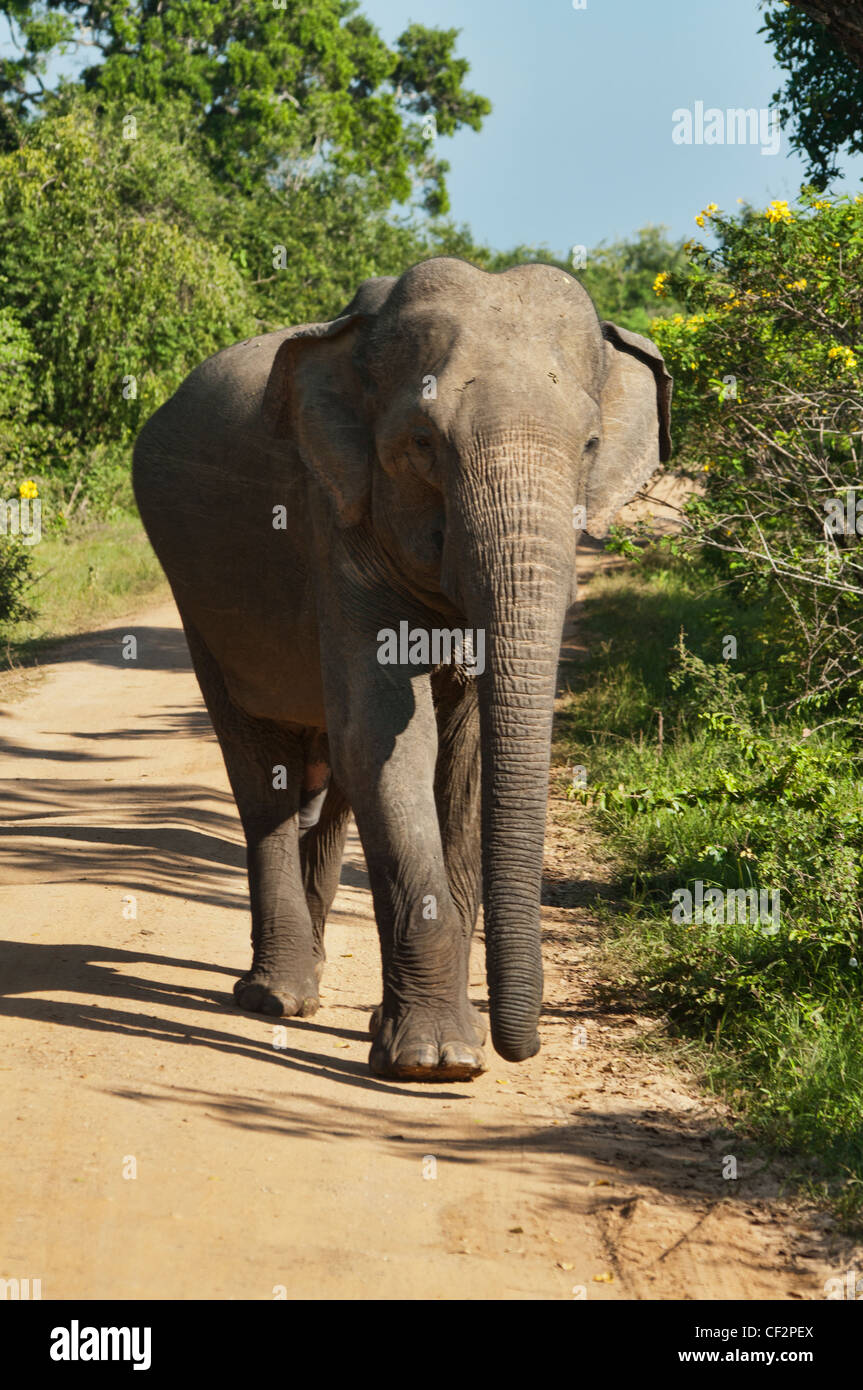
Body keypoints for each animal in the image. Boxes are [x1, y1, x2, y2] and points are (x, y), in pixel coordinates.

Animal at [132, 261, 672, 1084]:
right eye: (421, 442)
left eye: (587, 445)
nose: (518, 1045)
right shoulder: (336, 522)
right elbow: (388, 737)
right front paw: (436, 1062)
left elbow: (461, 757)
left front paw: (429, 1042)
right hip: (198, 601)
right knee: (264, 772)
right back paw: (277, 997)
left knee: (327, 777)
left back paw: (310, 981)